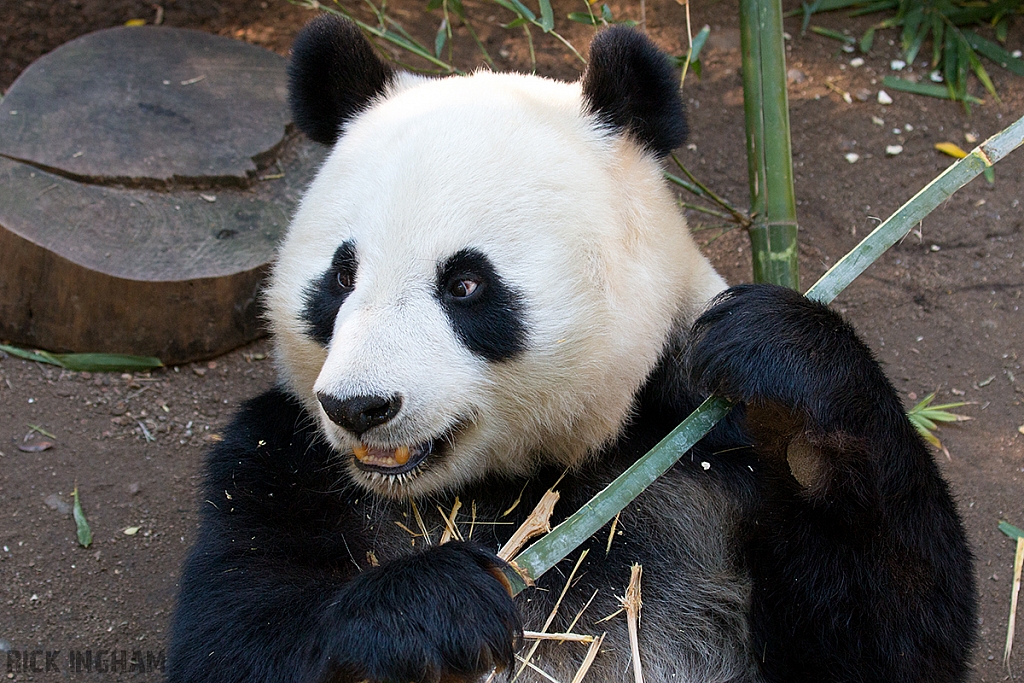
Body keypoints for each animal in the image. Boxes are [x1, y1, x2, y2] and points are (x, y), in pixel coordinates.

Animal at [165, 15, 974, 683]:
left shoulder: (700, 443)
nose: (359, 406)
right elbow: (237, 643)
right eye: (340, 276)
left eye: (465, 284)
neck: (516, 481)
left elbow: (888, 644)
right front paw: (434, 608)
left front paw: (785, 367)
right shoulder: (277, 459)